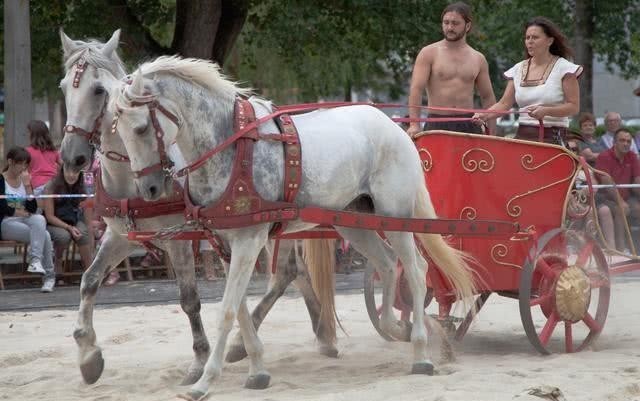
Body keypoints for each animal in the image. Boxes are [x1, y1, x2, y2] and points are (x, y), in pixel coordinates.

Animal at [59, 29, 338, 386]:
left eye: (98, 90)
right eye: (64, 87)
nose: (72, 157)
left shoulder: (177, 239)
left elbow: (189, 299)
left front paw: (199, 359)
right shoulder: (120, 236)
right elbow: (89, 280)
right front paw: (88, 354)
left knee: (286, 272)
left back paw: (244, 343)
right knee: (296, 272)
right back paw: (320, 332)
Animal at [109, 54, 476, 398]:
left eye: (141, 128)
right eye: (119, 131)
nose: (149, 189)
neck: (229, 145)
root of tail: (395, 128)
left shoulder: (249, 238)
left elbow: (227, 310)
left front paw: (204, 382)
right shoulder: (225, 243)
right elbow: (239, 308)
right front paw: (256, 370)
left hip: (396, 215)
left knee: (415, 270)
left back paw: (420, 352)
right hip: (355, 221)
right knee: (387, 264)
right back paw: (396, 328)